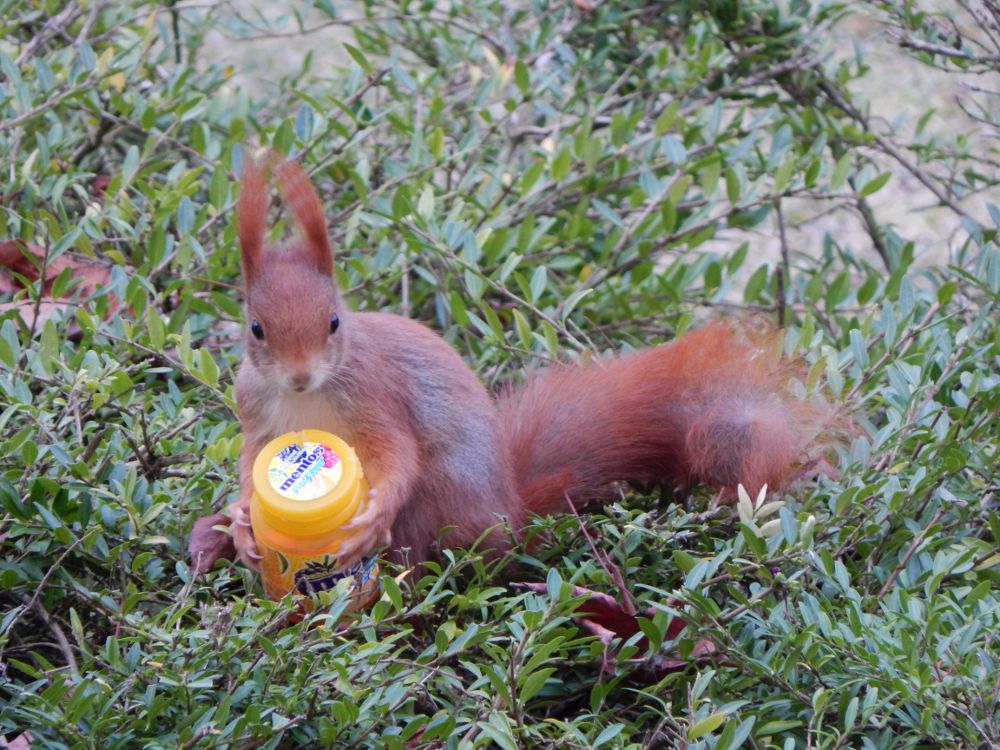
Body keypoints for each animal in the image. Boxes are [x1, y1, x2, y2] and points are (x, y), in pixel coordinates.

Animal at [188, 154, 836, 576]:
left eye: (333, 322)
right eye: (256, 328)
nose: (300, 376)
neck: (307, 397)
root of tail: (508, 516)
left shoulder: (373, 395)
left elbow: (395, 453)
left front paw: (371, 515)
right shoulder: (258, 414)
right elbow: (250, 464)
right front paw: (243, 520)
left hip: (443, 497)